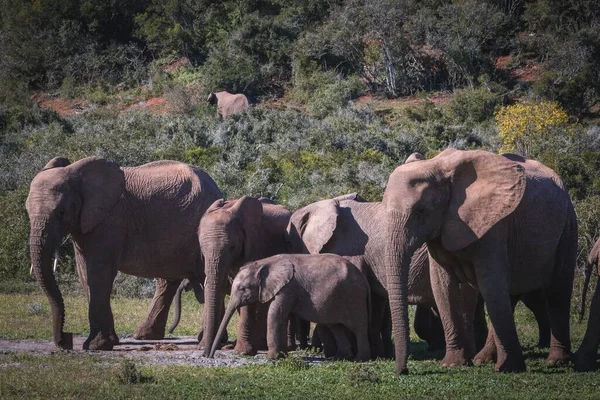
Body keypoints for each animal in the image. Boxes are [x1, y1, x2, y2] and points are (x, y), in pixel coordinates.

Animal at [26, 156, 223, 350]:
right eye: (27, 211)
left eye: (61, 213)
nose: (64, 340)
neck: (77, 174)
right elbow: (84, 273)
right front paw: (109, 342)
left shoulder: (109, 221)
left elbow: (98, 272)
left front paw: (96, 346)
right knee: (169, 280)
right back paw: (145, 336)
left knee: (205, 276)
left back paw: (209, 341)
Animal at [210, 256, 370, 362]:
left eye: (243, 289)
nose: (210, 356)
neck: (264, 263)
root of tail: (364, 279)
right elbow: (282, 316)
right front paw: (282, 356)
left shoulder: (287, 288)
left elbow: (275, 314)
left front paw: (272, 358)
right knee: (336, 327)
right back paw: (341, 357)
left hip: (354, 297)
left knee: (359, 327)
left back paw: (360, 359)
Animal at [384, 148, 576, 374]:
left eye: (420, 211)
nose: (403, 371)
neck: (437, 168)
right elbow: (443, 287)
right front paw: (453, 364)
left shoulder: (494, 225)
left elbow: (490, 283)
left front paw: (509, 368)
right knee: (509, 296)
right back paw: (482, 360)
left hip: (567, 225)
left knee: (557, 291)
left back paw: (556, 361)